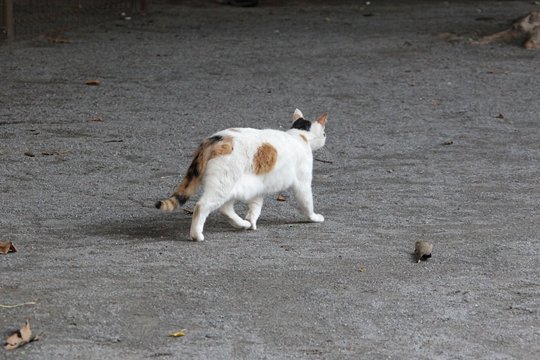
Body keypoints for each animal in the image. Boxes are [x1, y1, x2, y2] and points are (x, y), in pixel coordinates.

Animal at [154, 108, 326, 240]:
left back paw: (242, 224)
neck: (299, 135)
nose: (325, 138)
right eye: (324, 134)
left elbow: (255, 207)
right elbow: (307, 203)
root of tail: (216, 138)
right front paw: (314, 218)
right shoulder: (302, 184)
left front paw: (251, 222)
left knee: (225, 209)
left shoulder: (258, 187)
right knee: (202, 206)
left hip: (234, 185)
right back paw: (197, 235)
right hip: (224, 184)